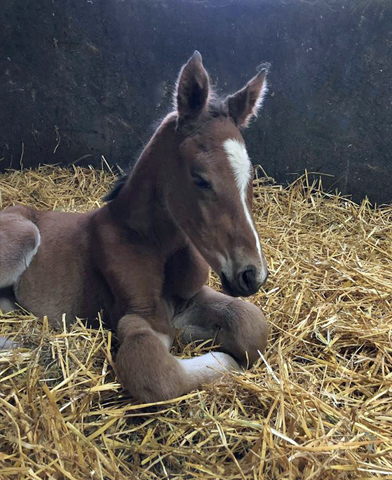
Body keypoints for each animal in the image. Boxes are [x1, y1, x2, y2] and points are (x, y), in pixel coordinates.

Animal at [0, 52, 270, 402]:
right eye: (200, 178)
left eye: (250, 175)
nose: (252, 275)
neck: (154, 243)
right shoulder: (139, 315)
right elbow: (157, 374)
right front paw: (224, 362)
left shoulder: (191, 297)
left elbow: (251, 325)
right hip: (24, 235)